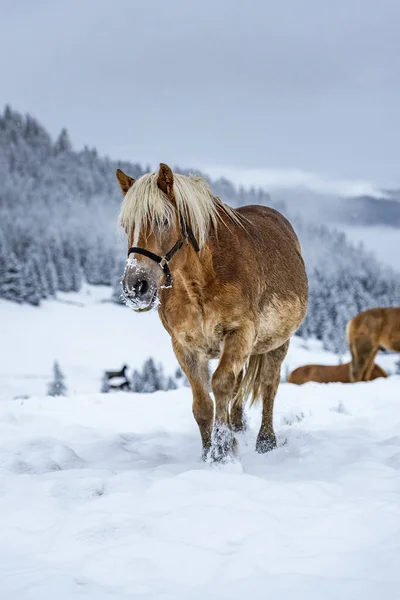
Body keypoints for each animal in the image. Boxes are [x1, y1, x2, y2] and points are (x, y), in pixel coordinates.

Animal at [115, 162, 310, 462]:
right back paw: (238, 427)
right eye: (127, 226)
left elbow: (221, 385)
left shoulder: (240, 333)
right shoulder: (184, 346)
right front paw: (210, 452)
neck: (201, 283)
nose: (135, 287)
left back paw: (265, 440)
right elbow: (203, 403)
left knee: (268, 385)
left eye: (163, 221)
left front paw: (222, 450)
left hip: (278, 343)